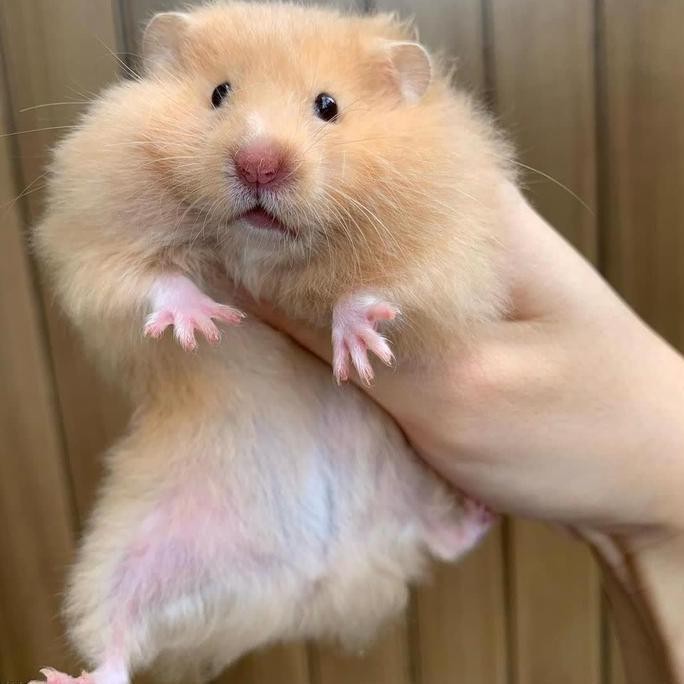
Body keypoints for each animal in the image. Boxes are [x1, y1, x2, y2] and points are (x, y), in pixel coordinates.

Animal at [29, 4, 495, 684]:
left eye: (328, 106)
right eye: (218, 93)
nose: (258, 163)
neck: (263, 249)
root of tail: (315, 583)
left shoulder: (452, 250)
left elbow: (384, 289)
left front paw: (357, 348)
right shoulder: (94, 237)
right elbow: (151, 281)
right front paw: (204, 323)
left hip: (408, 481)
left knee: (434, 538)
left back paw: (477, 515)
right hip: (133, 551)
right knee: (116, 635)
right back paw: (68, 676)